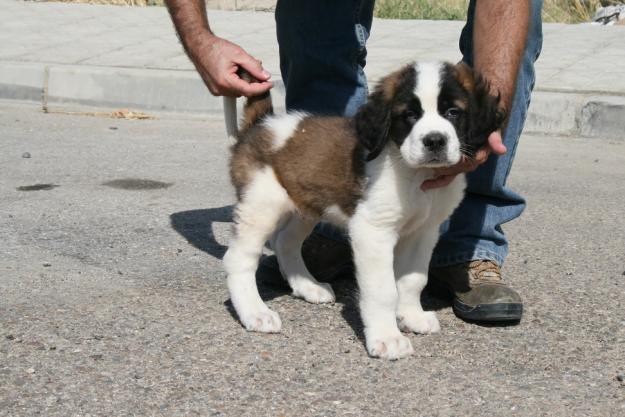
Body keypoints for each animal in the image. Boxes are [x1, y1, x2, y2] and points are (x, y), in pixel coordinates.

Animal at [219, 60, 502, 360]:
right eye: (410, 115)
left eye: (453, 112)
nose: (434, 141)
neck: (417, 175)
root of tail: (262, 124)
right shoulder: (373, 231)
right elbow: (383, 290)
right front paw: (387, 337)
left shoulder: (424, 232)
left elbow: (413, 279)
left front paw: (411, 316)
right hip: (261, 206)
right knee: (239, 258)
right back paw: (255, 312)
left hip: (307, 203)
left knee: (285, 241)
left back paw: (308, 287)